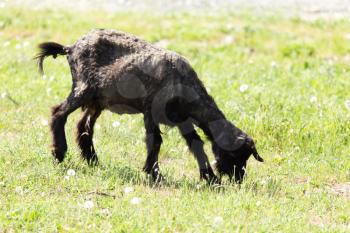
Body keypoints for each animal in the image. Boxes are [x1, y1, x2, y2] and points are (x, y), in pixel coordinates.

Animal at [36, 29, 266, 184]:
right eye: (236, 155)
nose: (238, 179)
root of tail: (70, 47)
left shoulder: (182, 119)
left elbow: (196, 144)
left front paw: (210, 178)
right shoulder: (151, 111)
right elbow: (155, 142)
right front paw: (154, 174)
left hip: (99, 100)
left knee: (84, 126)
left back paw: (92, 159)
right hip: (83, 88)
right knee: (59, 113)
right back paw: (59, 153)